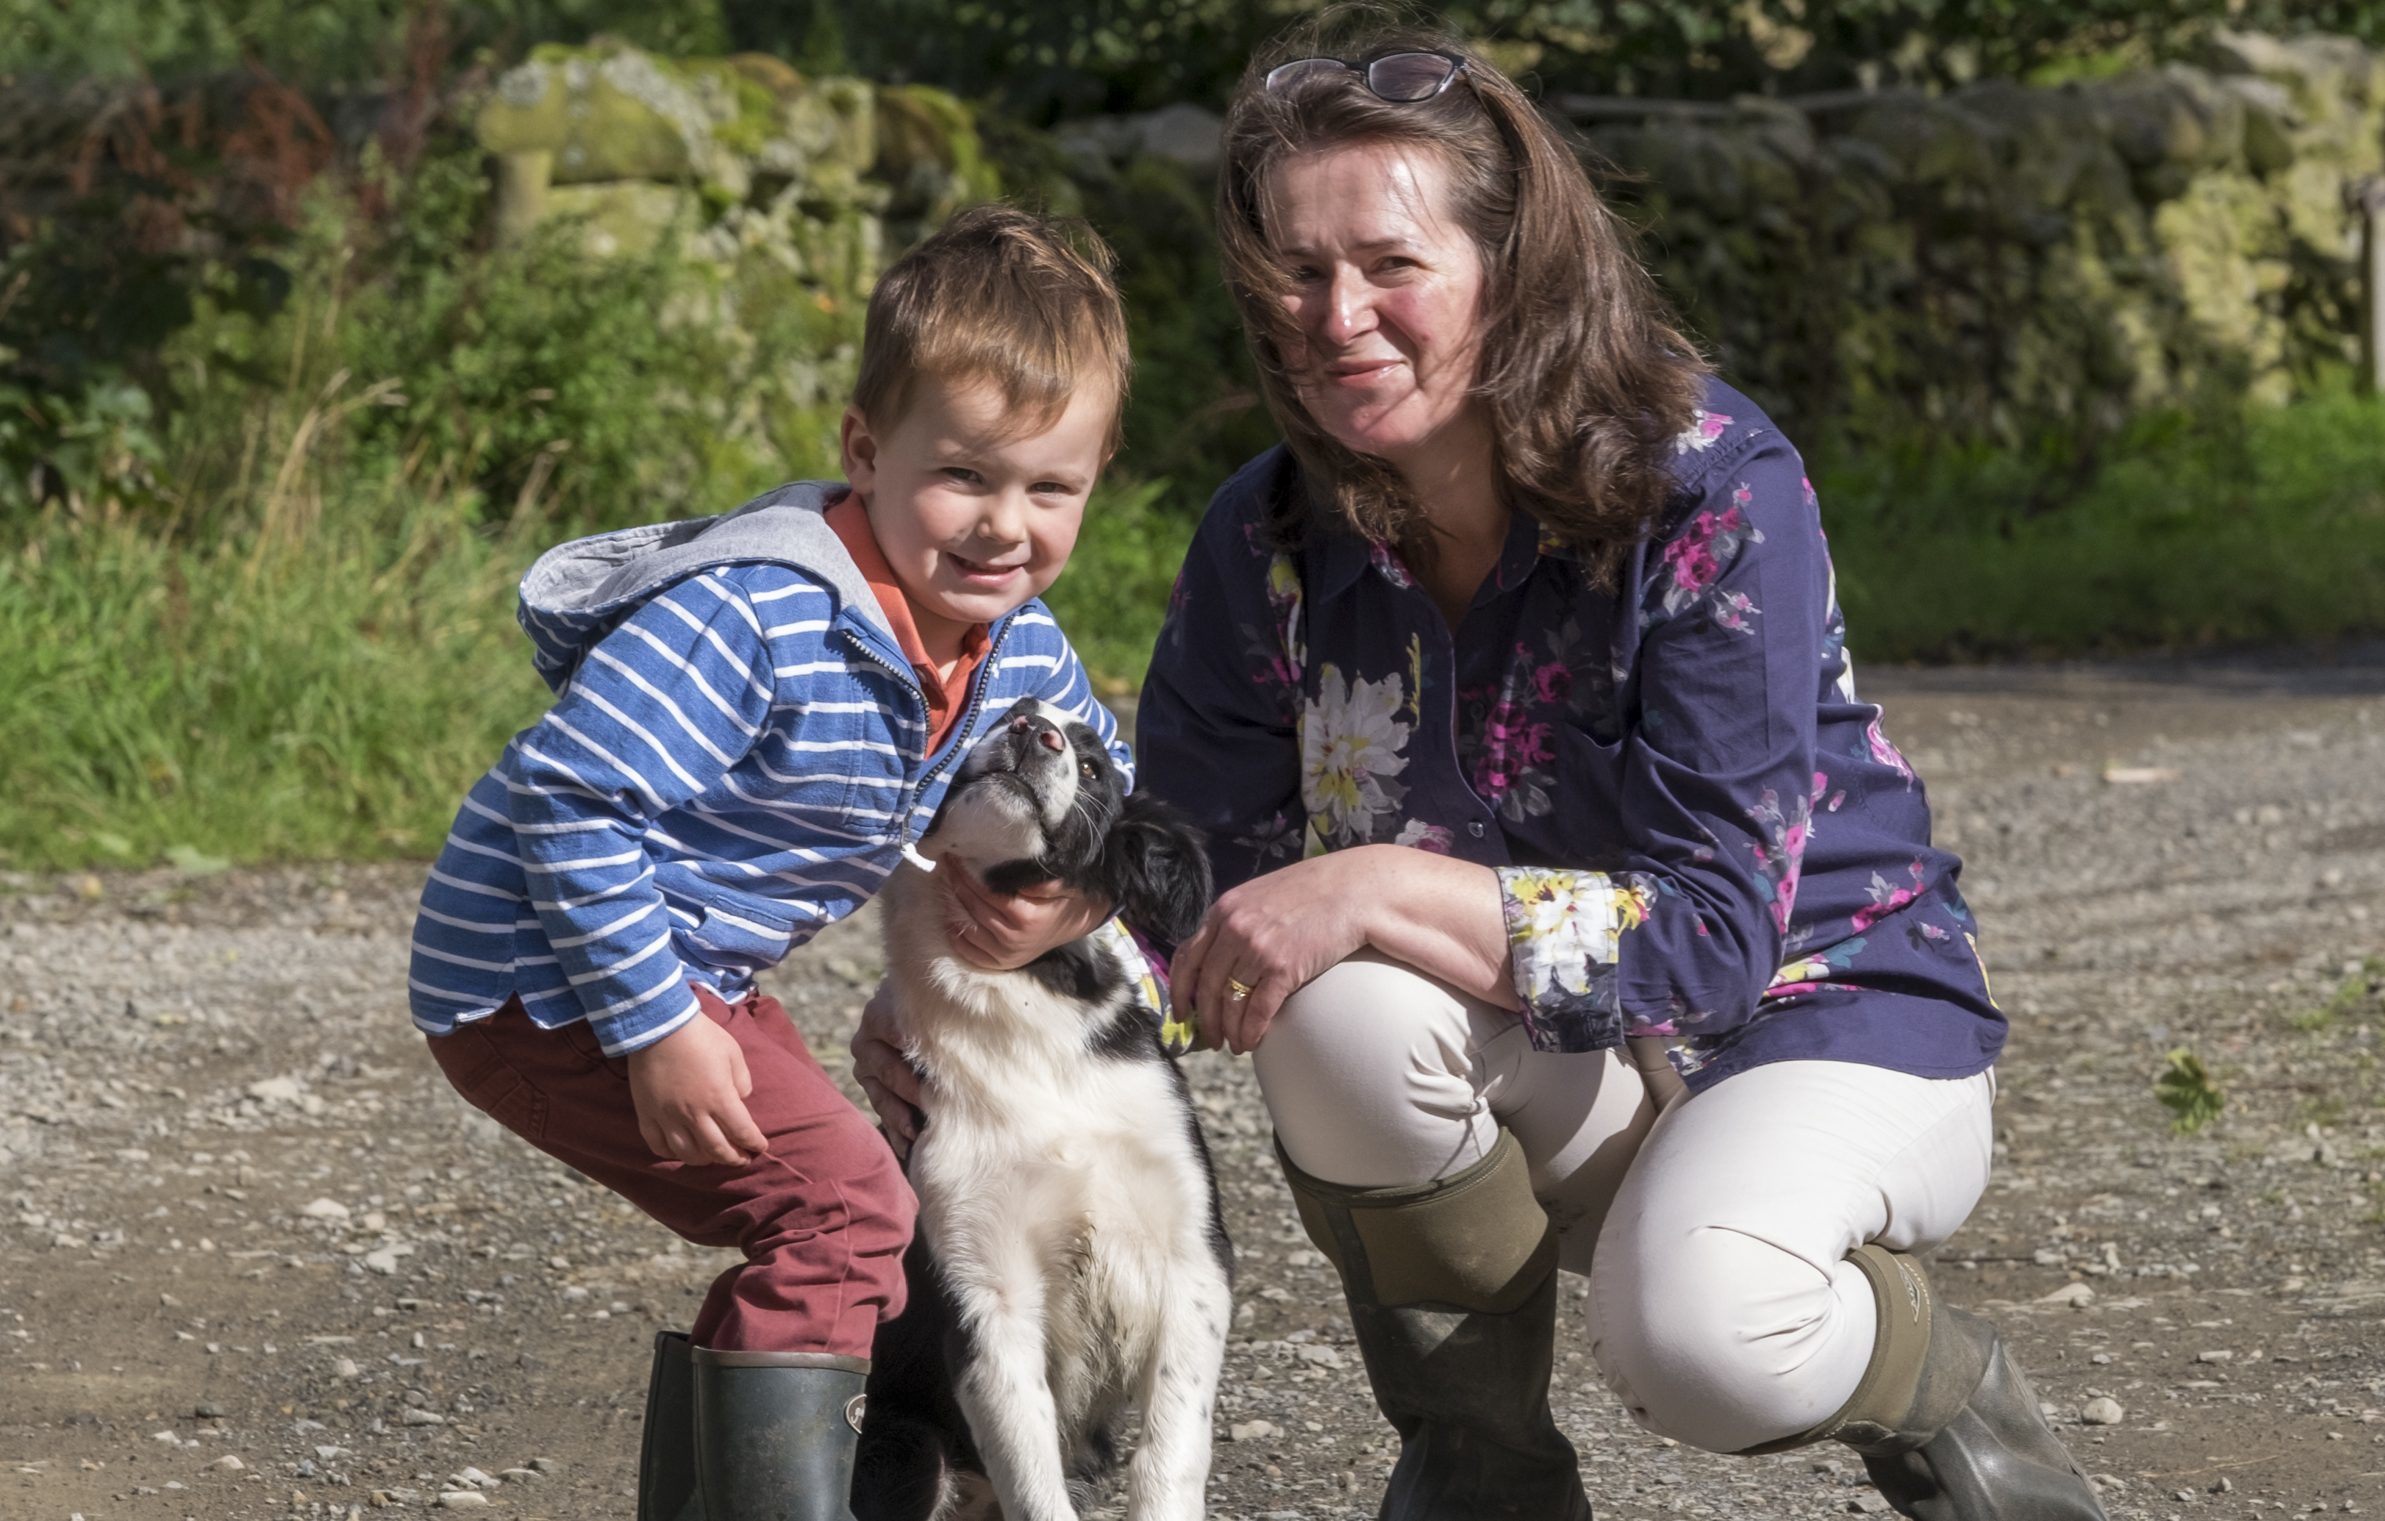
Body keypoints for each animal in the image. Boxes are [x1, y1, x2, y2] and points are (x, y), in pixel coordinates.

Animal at [853, 700, 1230, 1521]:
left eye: (1093, 767)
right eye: (1008, 713)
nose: (1036, 732)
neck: (1027, 1011)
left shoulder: (1193, 1261)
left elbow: (1171, 1448)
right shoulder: (986, 1295)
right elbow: (1032, 1476)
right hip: (903, 1450)